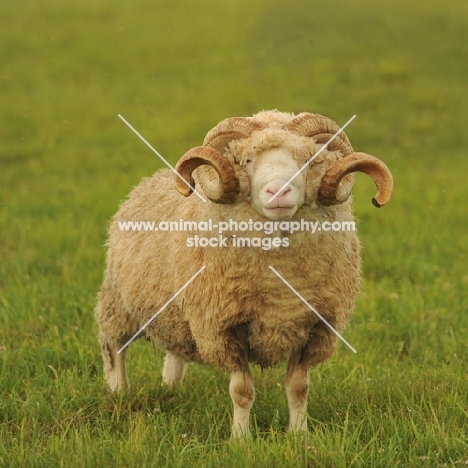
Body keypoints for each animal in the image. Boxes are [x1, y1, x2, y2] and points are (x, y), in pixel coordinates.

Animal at [94, 110, 392, 438]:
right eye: (247, 160)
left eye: (307, 160)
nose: (279, 191)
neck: (279, 284)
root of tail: (148, 181)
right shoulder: (222, 327)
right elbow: (242, 390)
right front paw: (241, 438)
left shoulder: (315, 327)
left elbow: (299, 388)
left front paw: (299, 435)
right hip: (118, 303)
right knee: (114, 348)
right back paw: (118, 392)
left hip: (177, 312)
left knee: (175, 350)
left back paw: (171, 387)